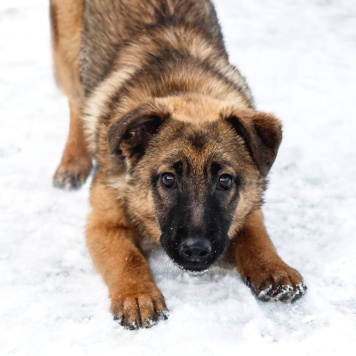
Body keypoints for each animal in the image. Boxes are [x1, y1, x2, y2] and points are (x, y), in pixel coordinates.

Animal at [49, 0, 306, 330]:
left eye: (224, 180)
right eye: (168, 179)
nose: (196, 250)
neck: (183, 84)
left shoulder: (248, 204)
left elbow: (256, 235)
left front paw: (273, 267)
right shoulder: (104, 224)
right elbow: (127, 258)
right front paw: (138, 295)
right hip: (68, 46)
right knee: (76, 102)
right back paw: (72, 163)